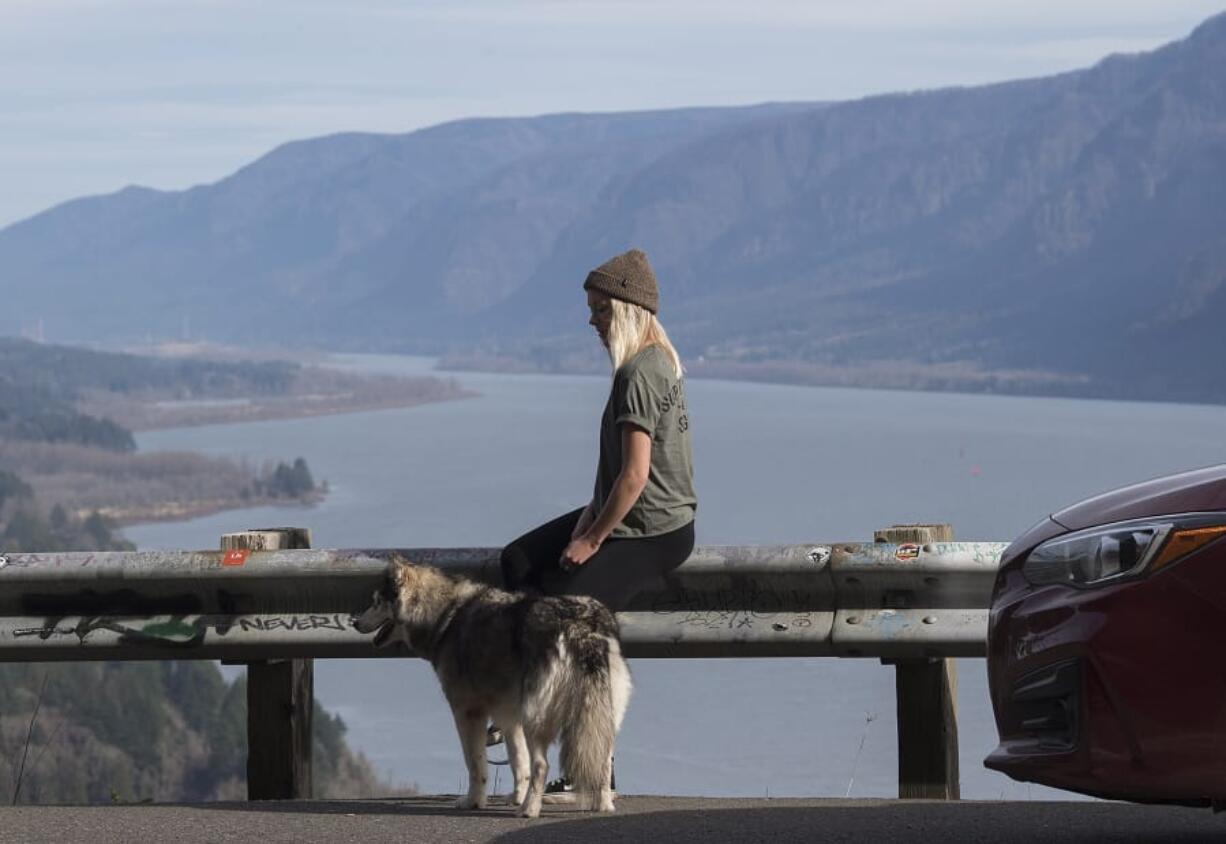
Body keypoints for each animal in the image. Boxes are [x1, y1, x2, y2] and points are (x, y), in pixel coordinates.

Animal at [350, 559, 627, 819]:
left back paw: (529, 810)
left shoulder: (468, 712)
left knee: (542, 765)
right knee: (602, 761)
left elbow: (476, 763)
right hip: (598, 719)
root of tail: (583, 627)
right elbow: (518, 762)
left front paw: (473, 802)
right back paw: (602, 805)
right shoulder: (508, 715)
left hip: (537, 718)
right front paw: (516, 796)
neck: (445, 617)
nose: (354, 622)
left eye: (376, 602)